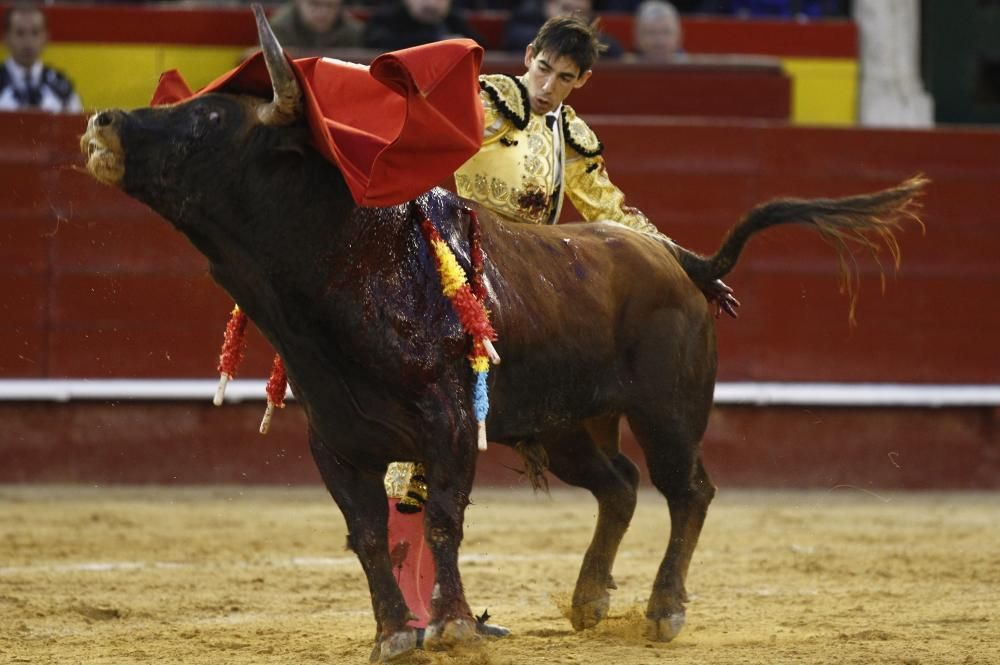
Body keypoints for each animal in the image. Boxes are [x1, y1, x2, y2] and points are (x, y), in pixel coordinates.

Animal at [78, 6, 920, 664]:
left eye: (210, 118)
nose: (102, 121)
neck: (346, 260)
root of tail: (680, 261)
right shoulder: (335, 437)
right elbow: (369, 532)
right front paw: (396, 633)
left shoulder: (448, 421)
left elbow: (443, 519)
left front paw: (450, 627)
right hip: (571, 423)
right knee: (618, 485)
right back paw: (588, 598)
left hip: (670, 412)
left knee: (689, 490)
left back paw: (663, 608)